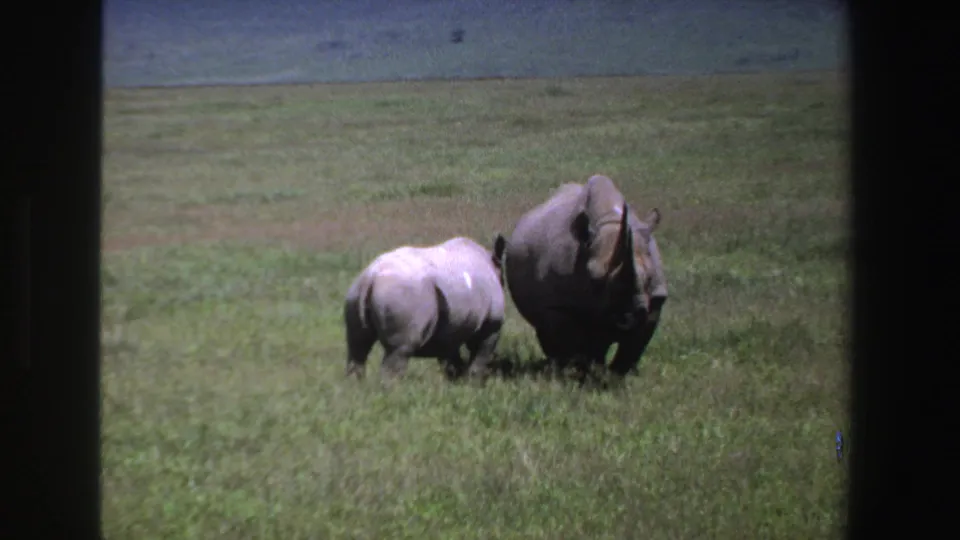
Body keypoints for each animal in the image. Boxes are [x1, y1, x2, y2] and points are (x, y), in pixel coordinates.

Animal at [343, 235, 507, 382]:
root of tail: (370, 277)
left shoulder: (450, 327)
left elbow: (450, 359)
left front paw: (455, 384)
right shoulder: (492, 324)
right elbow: (479, 356)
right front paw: (471, 385)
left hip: (355, 293)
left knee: (357, 346)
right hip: (402, 294)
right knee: (399, 350)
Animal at [504, 174, 667, 379]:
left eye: (650, 277)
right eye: (595, 279)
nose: (629, 316)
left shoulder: (655, 301)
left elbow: (631, 349)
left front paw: (616, 378)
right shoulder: (560, 303)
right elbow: (574, 342)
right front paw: (581, 375)